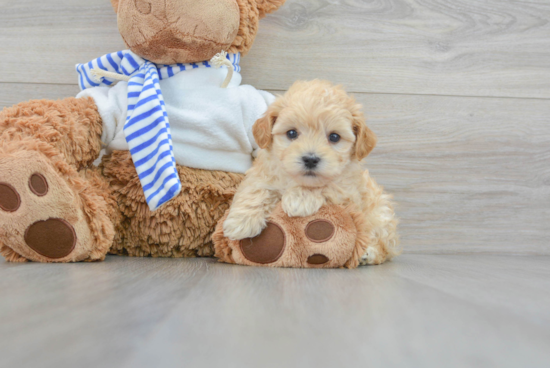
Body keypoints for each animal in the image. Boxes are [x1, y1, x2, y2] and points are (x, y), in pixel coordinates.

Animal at [224, 80, 402, 264]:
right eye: (292, 133)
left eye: (334, 137)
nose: (310, 159)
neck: (295, 180)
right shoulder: (262, 173)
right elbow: (256, 189)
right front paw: (241, 221)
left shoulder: (347, 192)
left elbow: (325, 186)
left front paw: (298, 200)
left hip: (380, 217)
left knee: (384, 246)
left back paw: (368, 253)